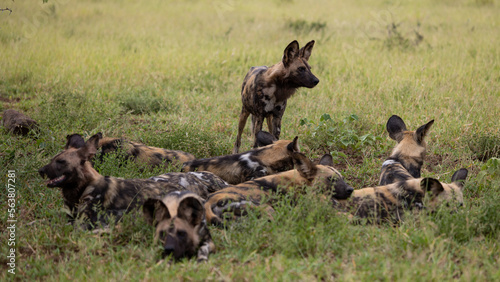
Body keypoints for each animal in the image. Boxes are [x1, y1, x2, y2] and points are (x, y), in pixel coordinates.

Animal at [202, 152, 352, 227]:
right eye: (331, 179)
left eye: (342, 178)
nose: (350, 189)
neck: (301, 183)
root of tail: (209, 201)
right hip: (268, 210)